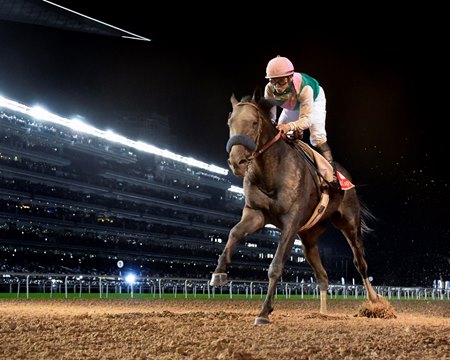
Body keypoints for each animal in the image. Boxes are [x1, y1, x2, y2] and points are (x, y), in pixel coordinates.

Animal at [210, 93, 380, 324]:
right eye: (230, 122)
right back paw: (322, 313)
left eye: (254, 123)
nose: (237, 161)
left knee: (360, 263)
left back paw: (375, 303)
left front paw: (264, 312)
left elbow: (276, 265)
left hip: (349, 223)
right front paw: (219, 273)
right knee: (322, 275)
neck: (271, 171)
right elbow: (234, 232)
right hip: (308, 238)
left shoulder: (291, 222)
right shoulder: (256, 214)